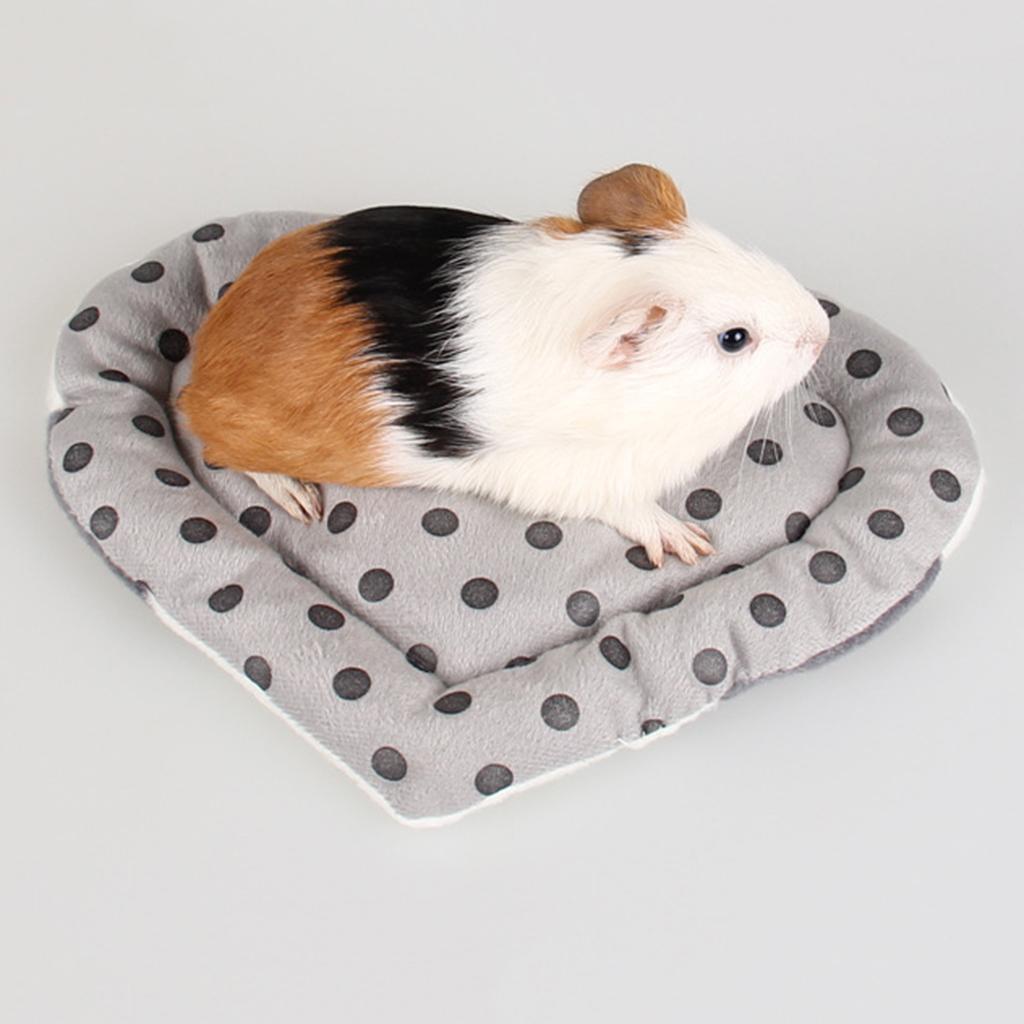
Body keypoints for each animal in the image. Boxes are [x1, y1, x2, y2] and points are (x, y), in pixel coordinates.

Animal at [177, 164, 829, 567]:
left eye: (739, 251)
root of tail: (201, 367)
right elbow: (627, 508)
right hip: (241, 436)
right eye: (734, 339)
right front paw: (690, 543)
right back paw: (303, 503)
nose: (822, 330)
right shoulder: (567, 477)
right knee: (221, 451)